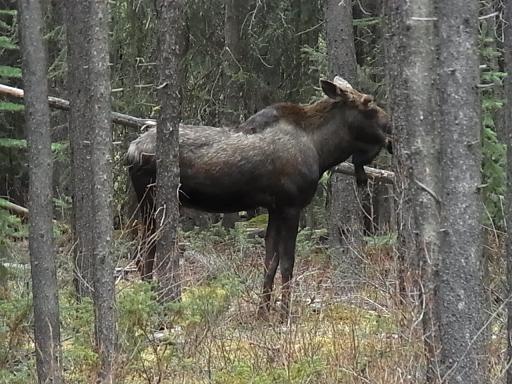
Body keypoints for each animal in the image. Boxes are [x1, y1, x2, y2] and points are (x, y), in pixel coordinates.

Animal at [127, 76, 392, 320]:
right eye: (368, 102)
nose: (390, 129)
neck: (321, 150)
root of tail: (130, 152)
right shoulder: (291, 206)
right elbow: (287, 262)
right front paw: (284, 315)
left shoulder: (274, 207)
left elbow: (270, 261)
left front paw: (263, 313)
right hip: (150, 199)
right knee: (144, 252)